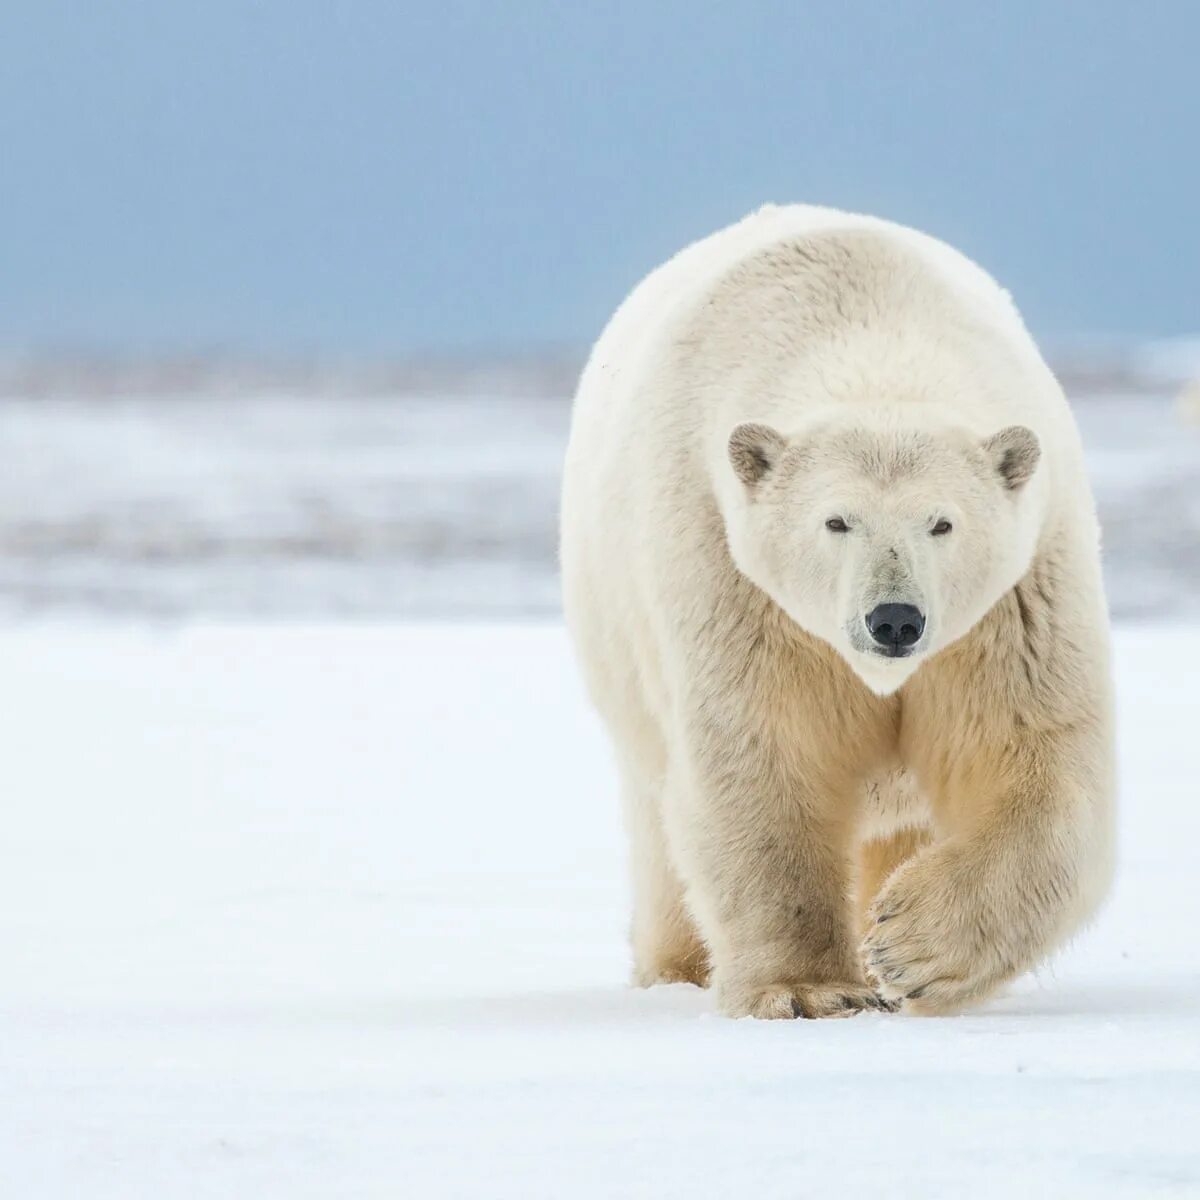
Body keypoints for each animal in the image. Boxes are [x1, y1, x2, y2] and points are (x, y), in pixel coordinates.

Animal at [561, 204, 1113, 1012]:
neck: (869, 328)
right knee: (661, 827)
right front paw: (808, 989)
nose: (895, 620)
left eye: (942, 523)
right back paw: (677, 968)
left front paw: (908, 946)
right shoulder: (735, 579)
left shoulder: (1016, 600)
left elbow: (1032, 756)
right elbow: (766, 757)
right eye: (836, 520)